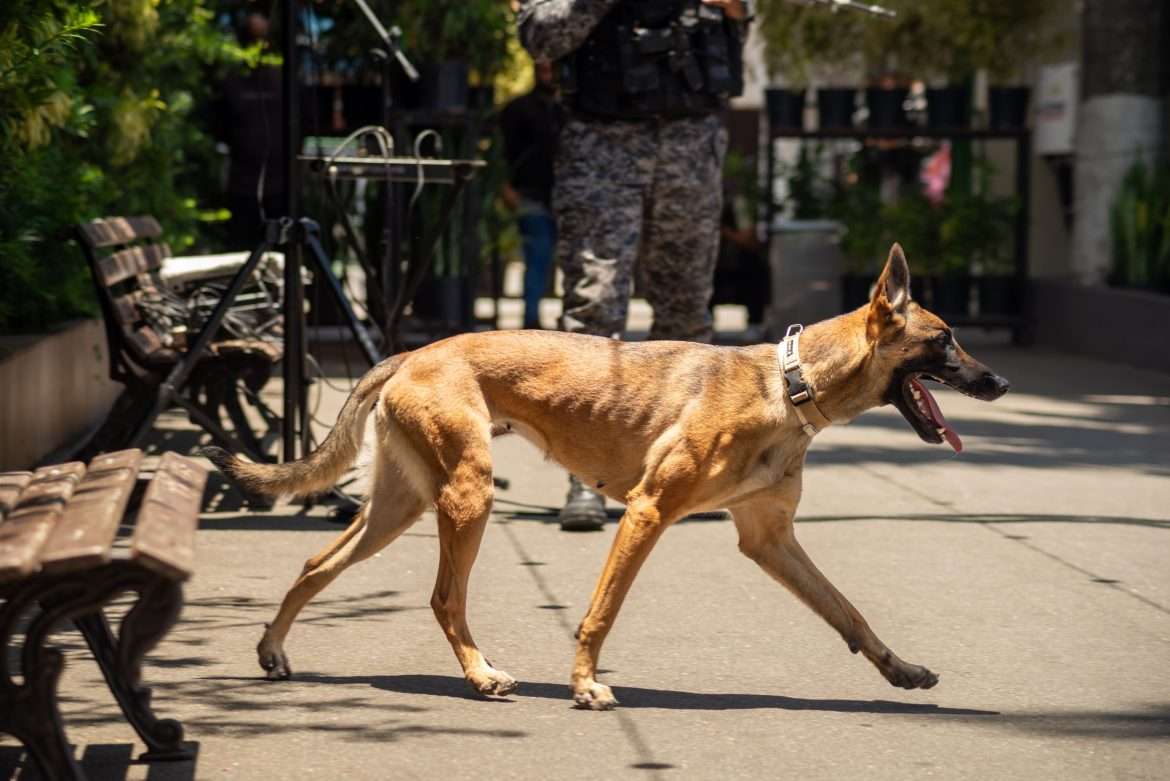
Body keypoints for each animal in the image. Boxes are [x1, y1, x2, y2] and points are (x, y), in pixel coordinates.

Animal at [205, 244, 1010, 706]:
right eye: (945, 339)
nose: (999, 381)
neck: (789, 384)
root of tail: (414, 351)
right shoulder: (648, 512)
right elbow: (601, 612)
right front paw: (586, 682)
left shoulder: (770, 539)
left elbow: (848, 612)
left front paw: (899, 669)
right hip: (465, 497)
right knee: (442, 597)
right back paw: (480, 674)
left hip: (398, 507)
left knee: (317, 562)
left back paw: (273, 648)